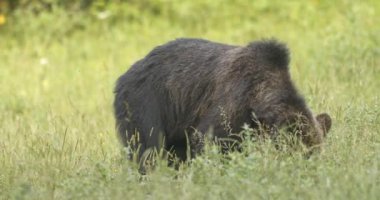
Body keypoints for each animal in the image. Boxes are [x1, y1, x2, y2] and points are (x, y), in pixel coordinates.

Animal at [112, 38, 330, 169]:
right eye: (302, 154)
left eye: (316, 153)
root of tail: (124, 74)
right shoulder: (232, 103)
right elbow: (210, 140)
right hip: (147, 102)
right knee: (148, 146)